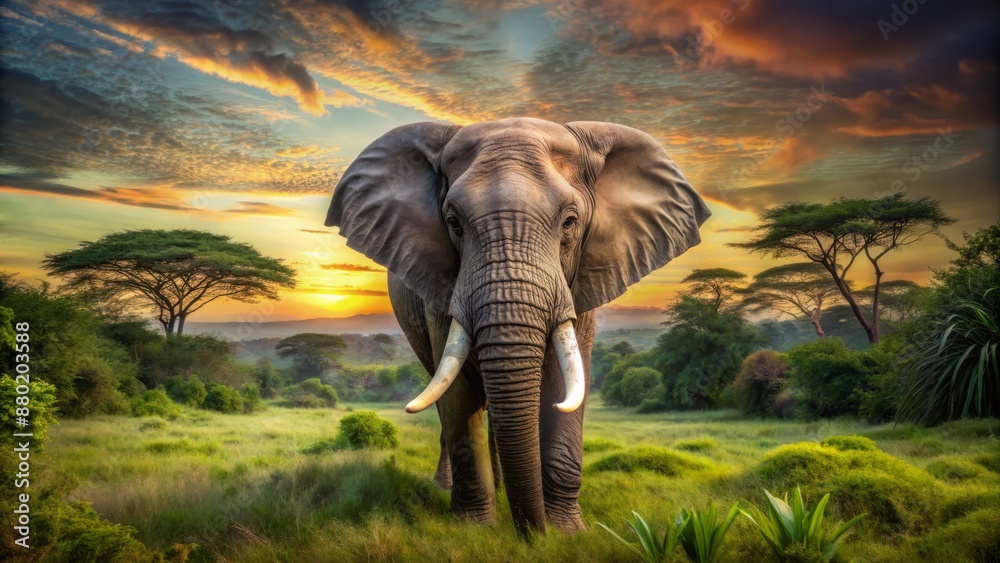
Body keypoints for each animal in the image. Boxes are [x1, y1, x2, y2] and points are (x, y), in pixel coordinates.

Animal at [325, 117, 710, 536]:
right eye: (453, 223)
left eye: (570, 222)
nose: (532, 534)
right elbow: (458, 396)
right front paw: (474, 530)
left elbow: (563, 386)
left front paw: (566, 532)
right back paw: (451, 487)